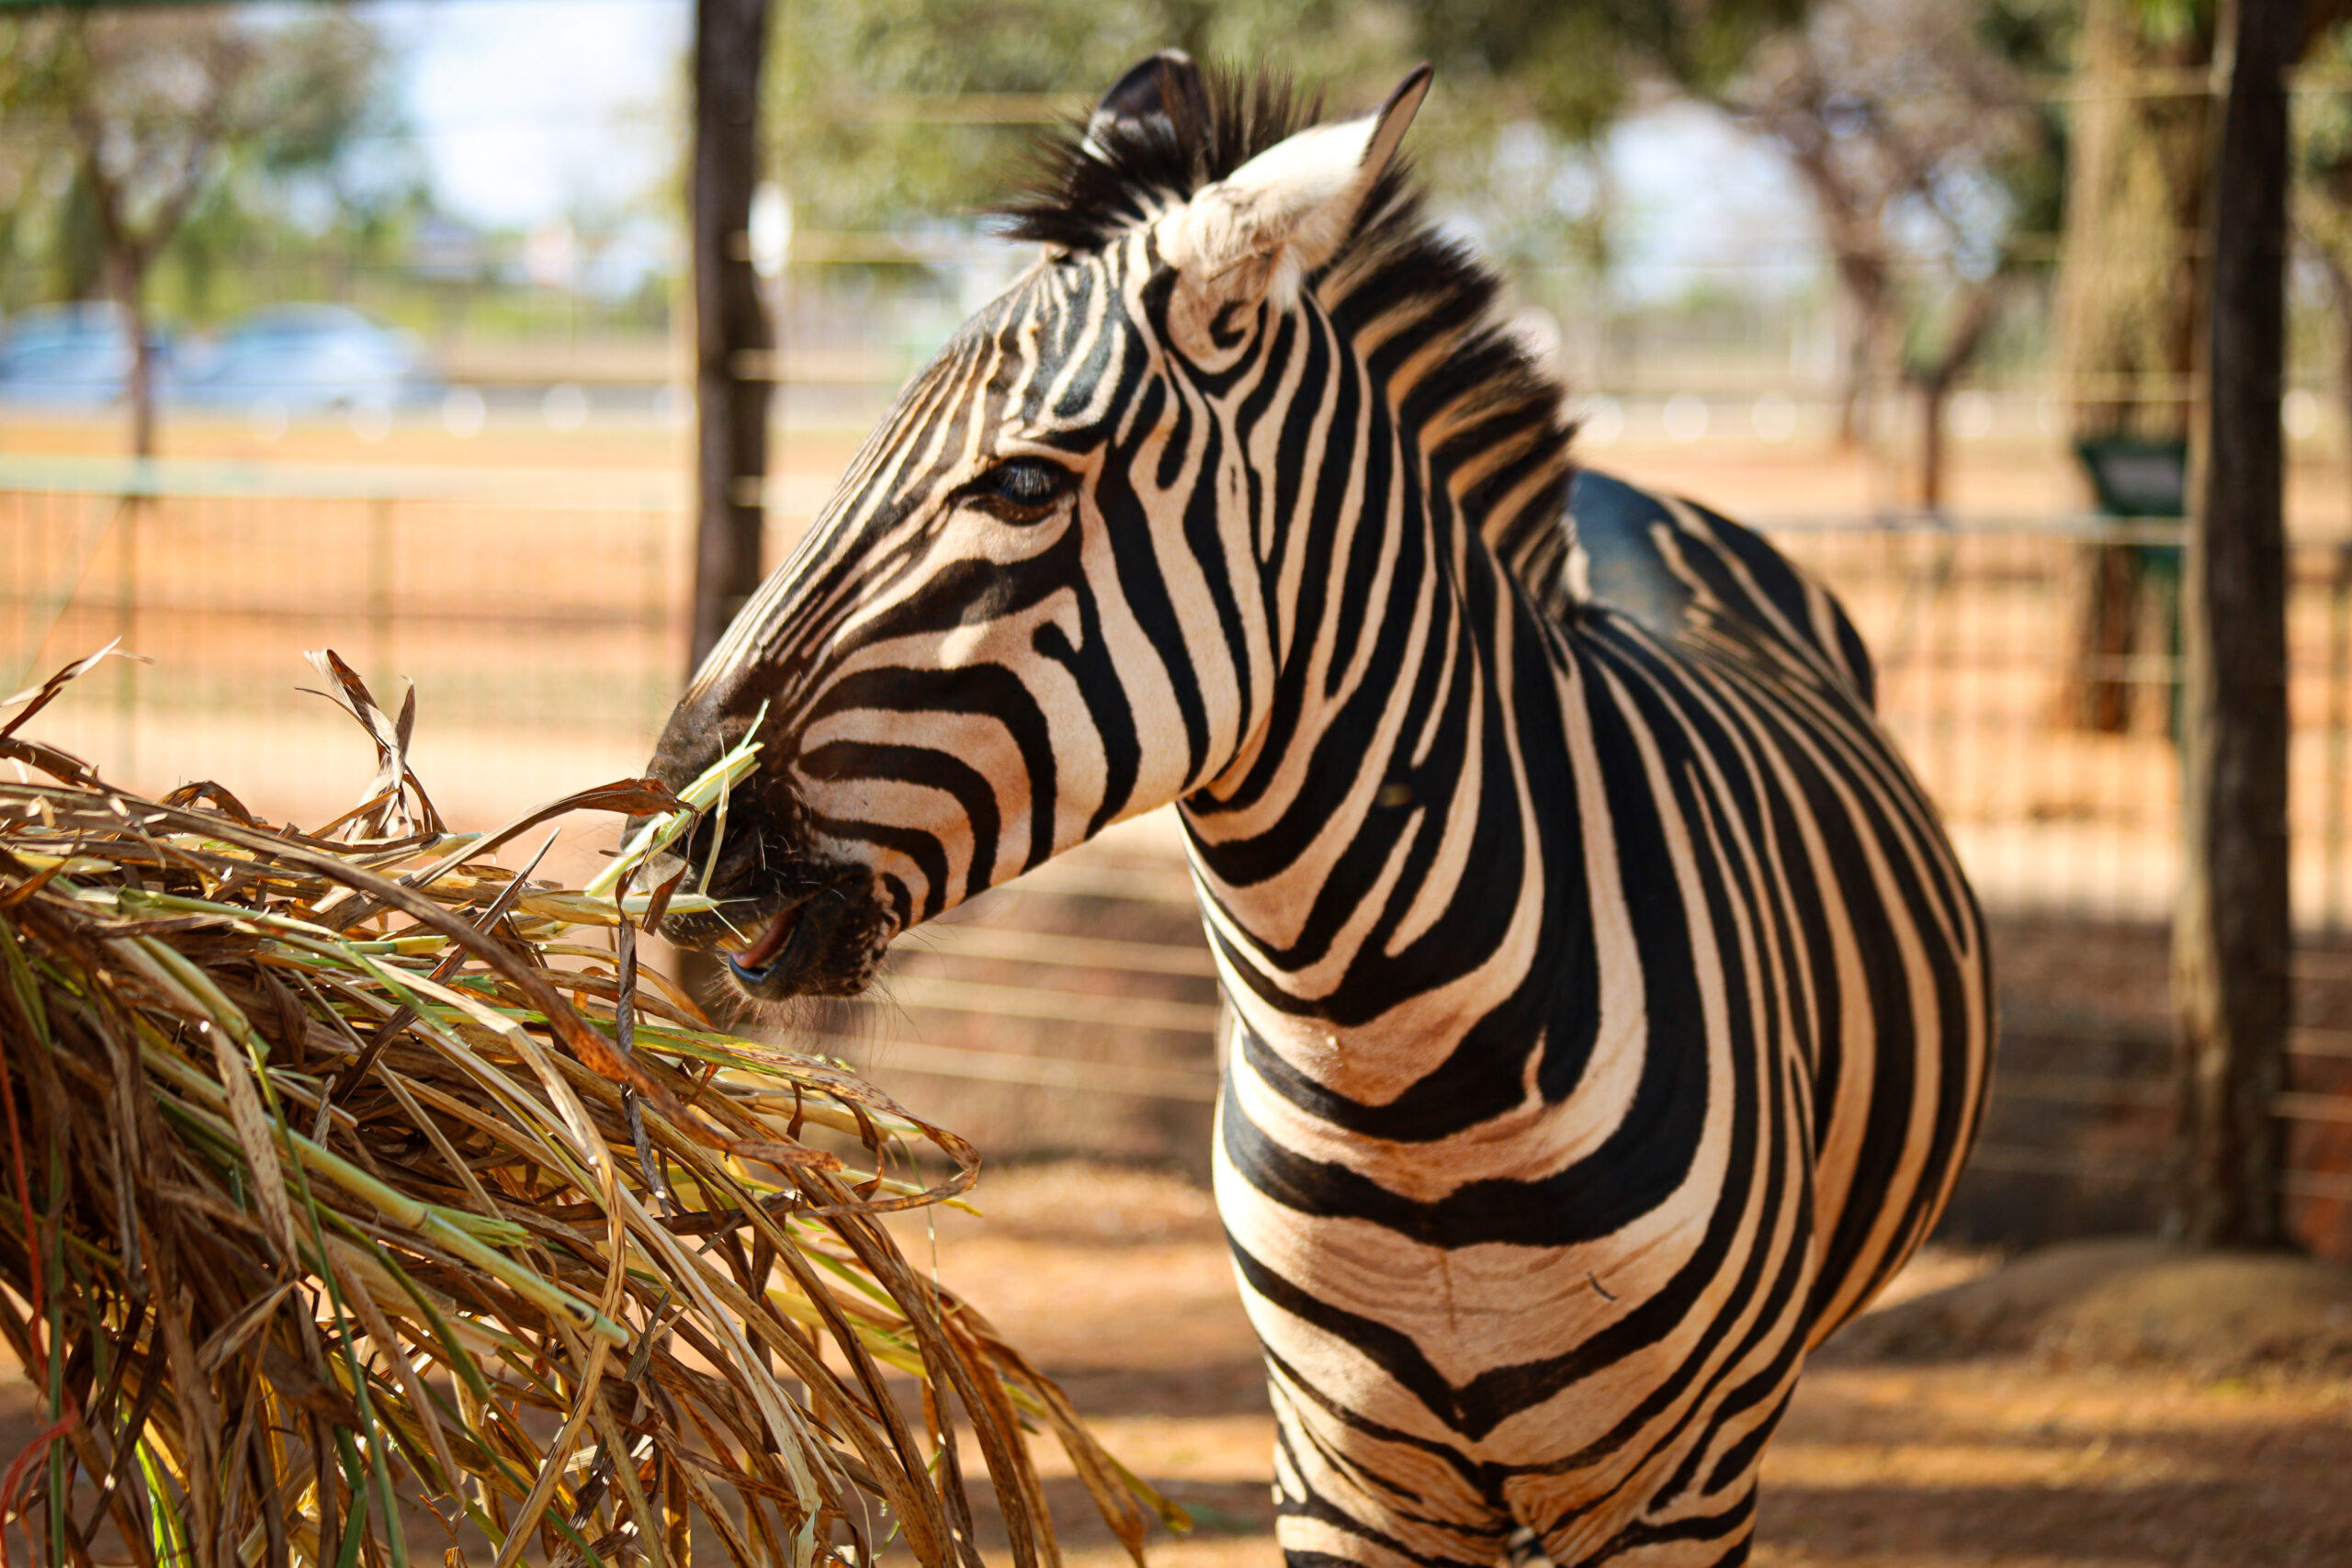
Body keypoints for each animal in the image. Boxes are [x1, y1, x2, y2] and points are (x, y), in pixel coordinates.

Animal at [644, 53, 1994, 1568]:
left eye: (1024, 481)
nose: (672, 807)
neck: (1411, 1089)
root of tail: (1623, 488)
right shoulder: (1331, 1469)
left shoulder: (1680, 1491)